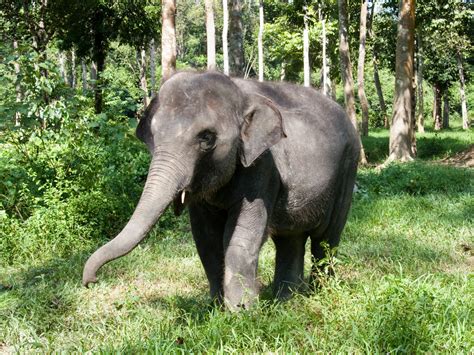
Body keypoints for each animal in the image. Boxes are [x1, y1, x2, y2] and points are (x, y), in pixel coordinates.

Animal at [82, 71, 360, 312]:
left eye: (206, 138)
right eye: (153, 135)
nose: (90, 281)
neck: (238, 91)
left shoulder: (263, 166)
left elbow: (239, 238)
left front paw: (242, 312)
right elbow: (206, 240)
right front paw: (216, 309)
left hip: (348, 170)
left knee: (326, 239)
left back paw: (320, 293)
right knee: (290, 239)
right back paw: (286, 301)